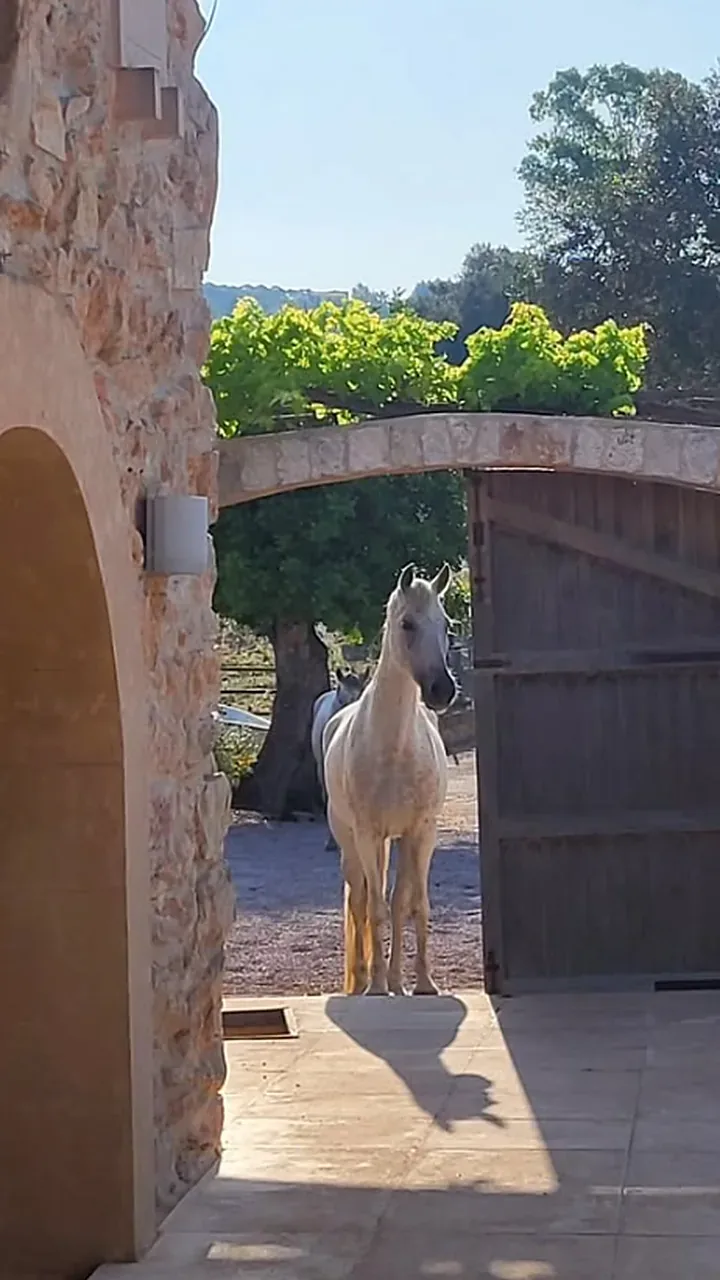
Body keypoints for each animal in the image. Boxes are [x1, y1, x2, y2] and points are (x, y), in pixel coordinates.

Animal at [323, 563, 457, 997]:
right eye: (407, 623)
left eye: (446, 624)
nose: (442, 690)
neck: (396, 747)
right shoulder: (368, 834)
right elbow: (375, 909)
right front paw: (378, 986)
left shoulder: (420, 833)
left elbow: (410, 905)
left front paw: (422, 983)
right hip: (354, 842)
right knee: (360, 901)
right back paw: (364, 980)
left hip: (391, 841)